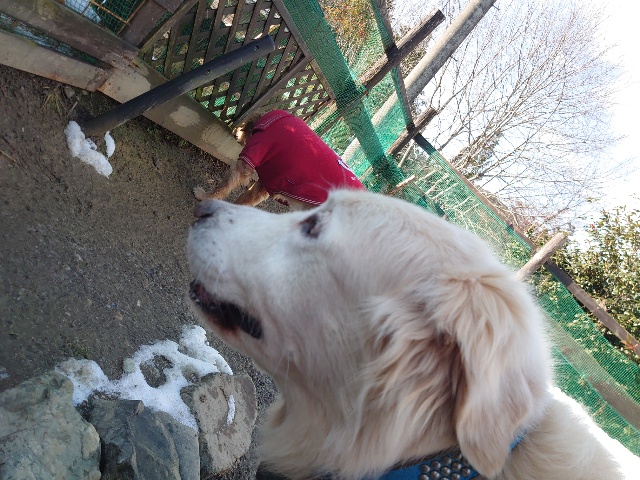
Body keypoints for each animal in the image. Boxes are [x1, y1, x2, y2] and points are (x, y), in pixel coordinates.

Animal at [193, 110, 365, 210]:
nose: (234, 133)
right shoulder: (267, 184)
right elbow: (245, 199)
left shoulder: (251, 156)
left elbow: (223, 186)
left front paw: (205, 196)